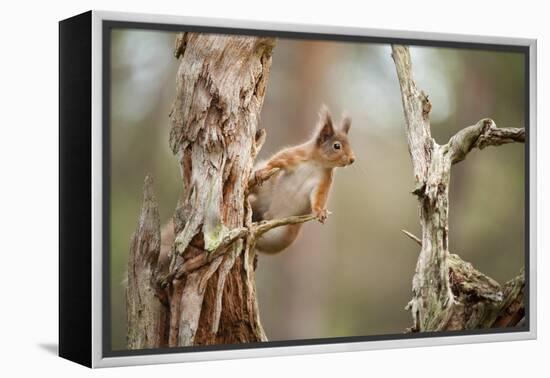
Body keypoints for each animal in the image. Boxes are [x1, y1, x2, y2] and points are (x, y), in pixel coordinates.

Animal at [251, 104, 358, 254]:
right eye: (337, 146)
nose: (352, 159)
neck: (317, 163)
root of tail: (267, 215)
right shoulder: (294, 155)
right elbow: (277, 160)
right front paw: (263, 171)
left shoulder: (324, 181)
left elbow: (319, 197)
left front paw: (319, 212)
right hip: (264, 191)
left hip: (283, 235)